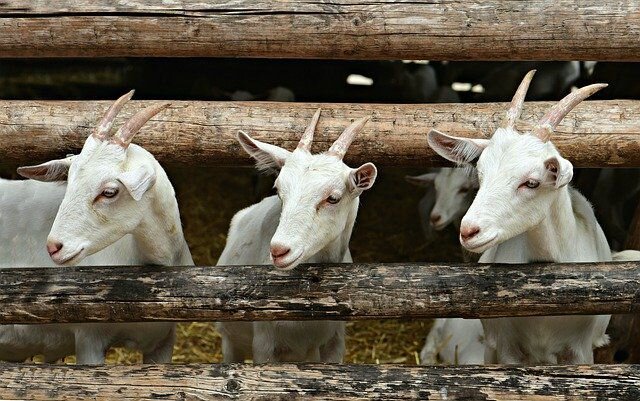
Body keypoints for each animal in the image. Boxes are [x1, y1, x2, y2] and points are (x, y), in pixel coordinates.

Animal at [216, 109, 377, 363]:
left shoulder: (335, 341)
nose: (279, 250)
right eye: (278, 190)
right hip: (230, 339)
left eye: (333, 198)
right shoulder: (264, 344)